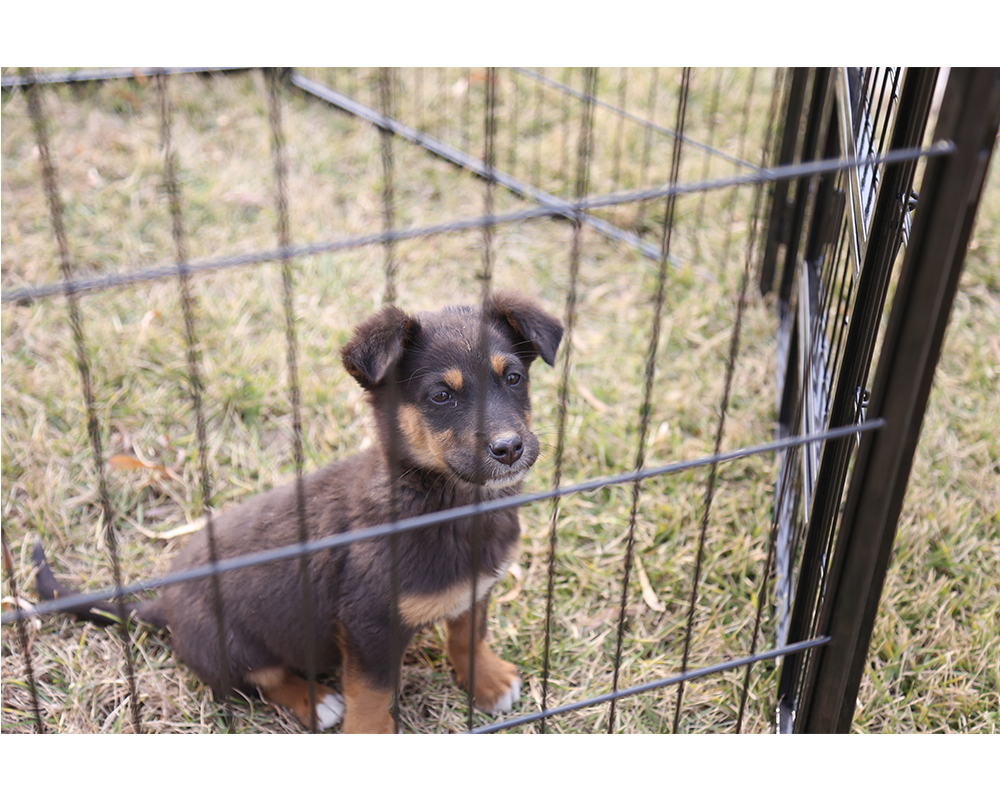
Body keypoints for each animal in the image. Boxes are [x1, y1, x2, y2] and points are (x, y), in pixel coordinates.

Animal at [31, 290, 564, 736]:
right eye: (441, 395)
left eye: (513, 378)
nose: (509, 448)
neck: (439, 502)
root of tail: (164, 603)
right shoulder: (368, 624)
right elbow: (371, 693)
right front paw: (370, 738)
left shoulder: (478, 587)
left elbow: (468, 636)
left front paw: (488, 681)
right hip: (230, 644)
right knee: (263, 678)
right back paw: (316, 701)